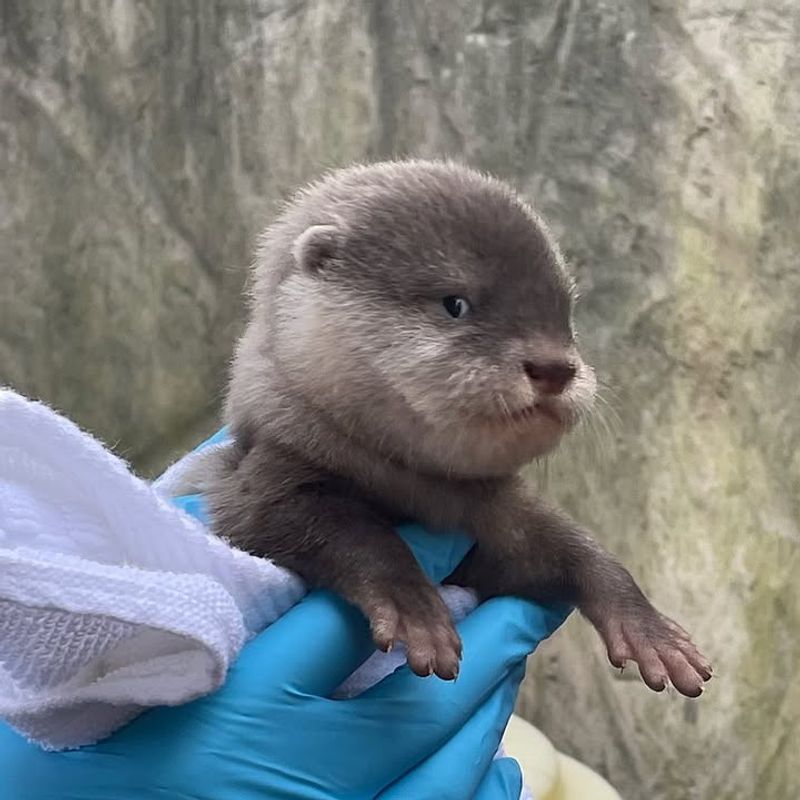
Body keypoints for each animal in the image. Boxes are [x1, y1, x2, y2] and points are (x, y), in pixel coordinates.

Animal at [207, 159, 711, 697]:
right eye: (455, 303)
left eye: (567, 315)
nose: (555, 368)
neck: (419, 493)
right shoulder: (263, 475)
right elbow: (348, 532)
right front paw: (415, 611)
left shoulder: (500, 520)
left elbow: (576, 548)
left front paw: (650, 630)